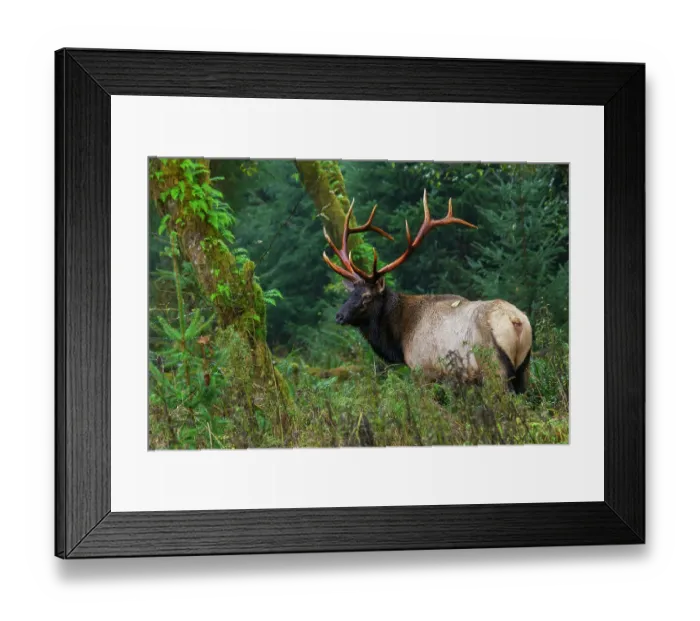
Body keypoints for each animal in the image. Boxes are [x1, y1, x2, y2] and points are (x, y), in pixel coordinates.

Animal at [322, 190, 533, 393]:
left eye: (366, 297)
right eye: (351, 294)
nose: (339, 316)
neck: (400, 339)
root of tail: (516, 321)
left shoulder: (424, 371)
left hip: (494, 367)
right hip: (524, 367)